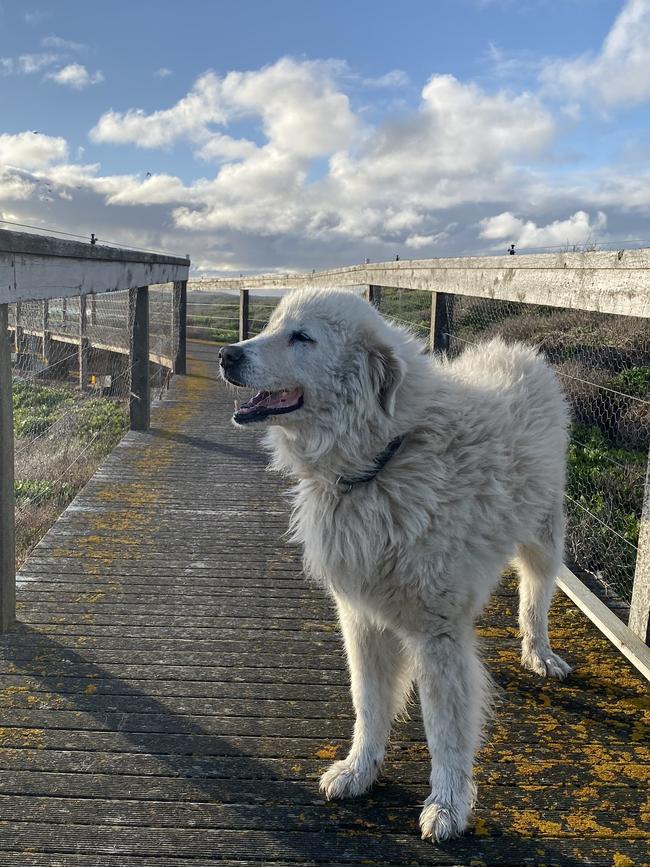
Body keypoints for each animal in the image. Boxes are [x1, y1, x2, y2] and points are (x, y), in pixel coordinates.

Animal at [220, 288, 568, 844]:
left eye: (302, 337)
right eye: (271, 326)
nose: (226, 355)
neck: (383, 462)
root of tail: (516, 349)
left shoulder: (438, 633)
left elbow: (446, 730)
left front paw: (447, 807)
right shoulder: (360, 617)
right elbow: (369, 702)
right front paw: (359, 771)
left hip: (544, 537)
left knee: (535, 596)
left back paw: (540, 653)